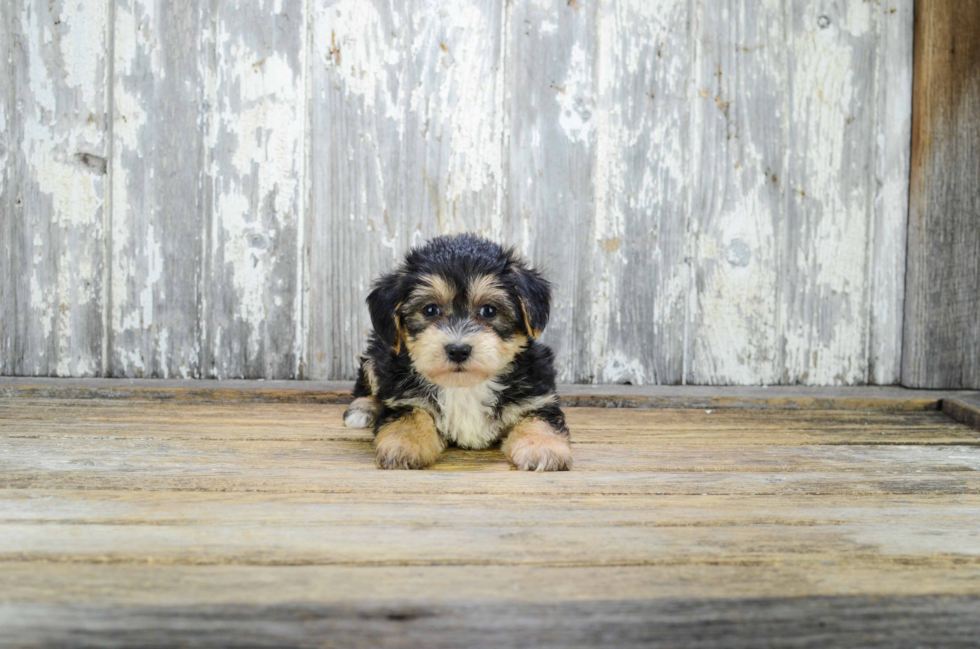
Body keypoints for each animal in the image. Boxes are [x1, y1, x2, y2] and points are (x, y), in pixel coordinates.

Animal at [346, 233, 572, 470]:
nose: (458, 350)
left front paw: (542, 446)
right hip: (377, 352)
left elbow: (540, 418)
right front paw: (403, 444)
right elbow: (409, 415)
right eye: (430, 310)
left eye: (489, 310)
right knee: (366, 383)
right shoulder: (402, 397)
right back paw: (362, 409)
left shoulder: (536, 396)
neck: (464, 386)